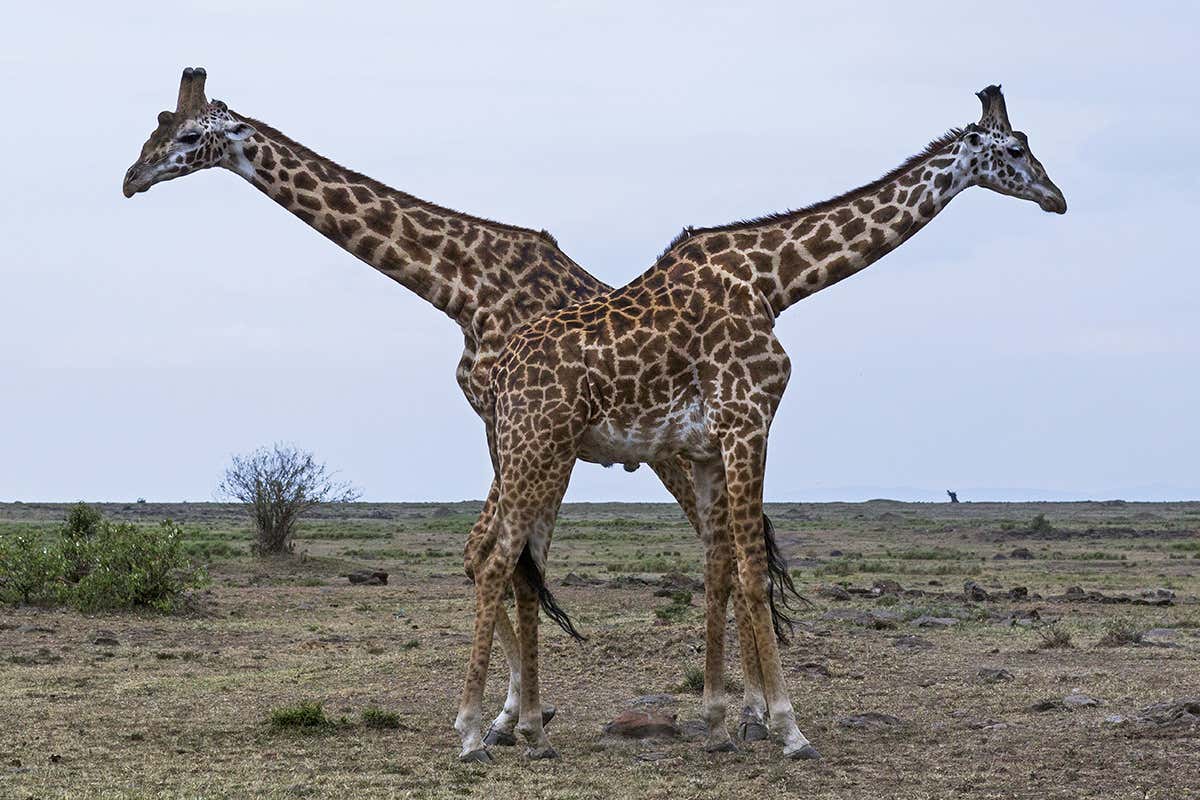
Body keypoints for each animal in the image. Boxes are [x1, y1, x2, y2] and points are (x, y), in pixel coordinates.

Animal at [121, 67, 790, 746]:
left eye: (189, 134)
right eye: (156, 124)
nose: (131, 177)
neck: (462, 286)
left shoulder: (527, 427)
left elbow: (506, 559)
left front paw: (510, 718)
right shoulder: (502, 424)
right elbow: (488, 557)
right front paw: (509, 715)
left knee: (734, 549)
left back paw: (757, 714)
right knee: (728, 547)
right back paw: (753, 710)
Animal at [456, 85, 1066, 762]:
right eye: (1017, 148)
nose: (1057, 197)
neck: (775, 283)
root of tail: (498, 376)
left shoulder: (704, 446)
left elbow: (717, 568)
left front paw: (720, 724)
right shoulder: (749, 416)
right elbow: (751, 571)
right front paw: (788, 728)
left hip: (540, 454)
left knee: (514, 564)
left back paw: (527, 731)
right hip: (534, 448)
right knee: (494, 562)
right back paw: (472, 734)